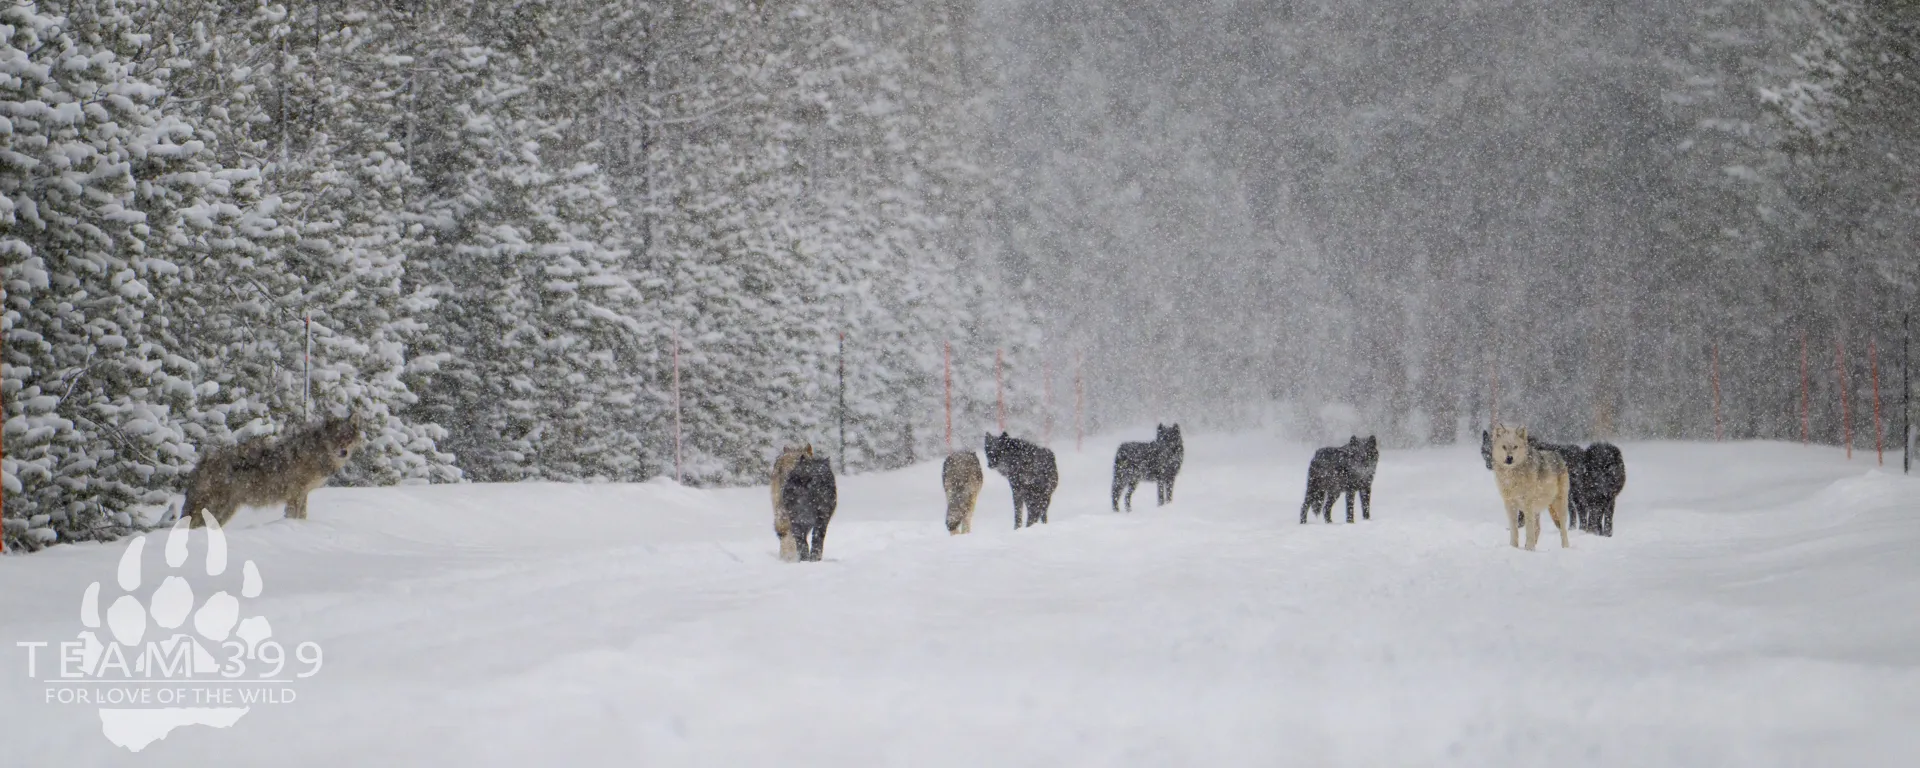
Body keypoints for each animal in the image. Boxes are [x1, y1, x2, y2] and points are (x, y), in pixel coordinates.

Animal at [181, 412, 365, 529]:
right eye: (336, 438)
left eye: (348, 438)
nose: (343, 452)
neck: (315, 453)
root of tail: (202, 462)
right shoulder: (295, 493)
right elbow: (294, 515)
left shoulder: (303, 493)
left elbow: (303, 515)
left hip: (226, 510)